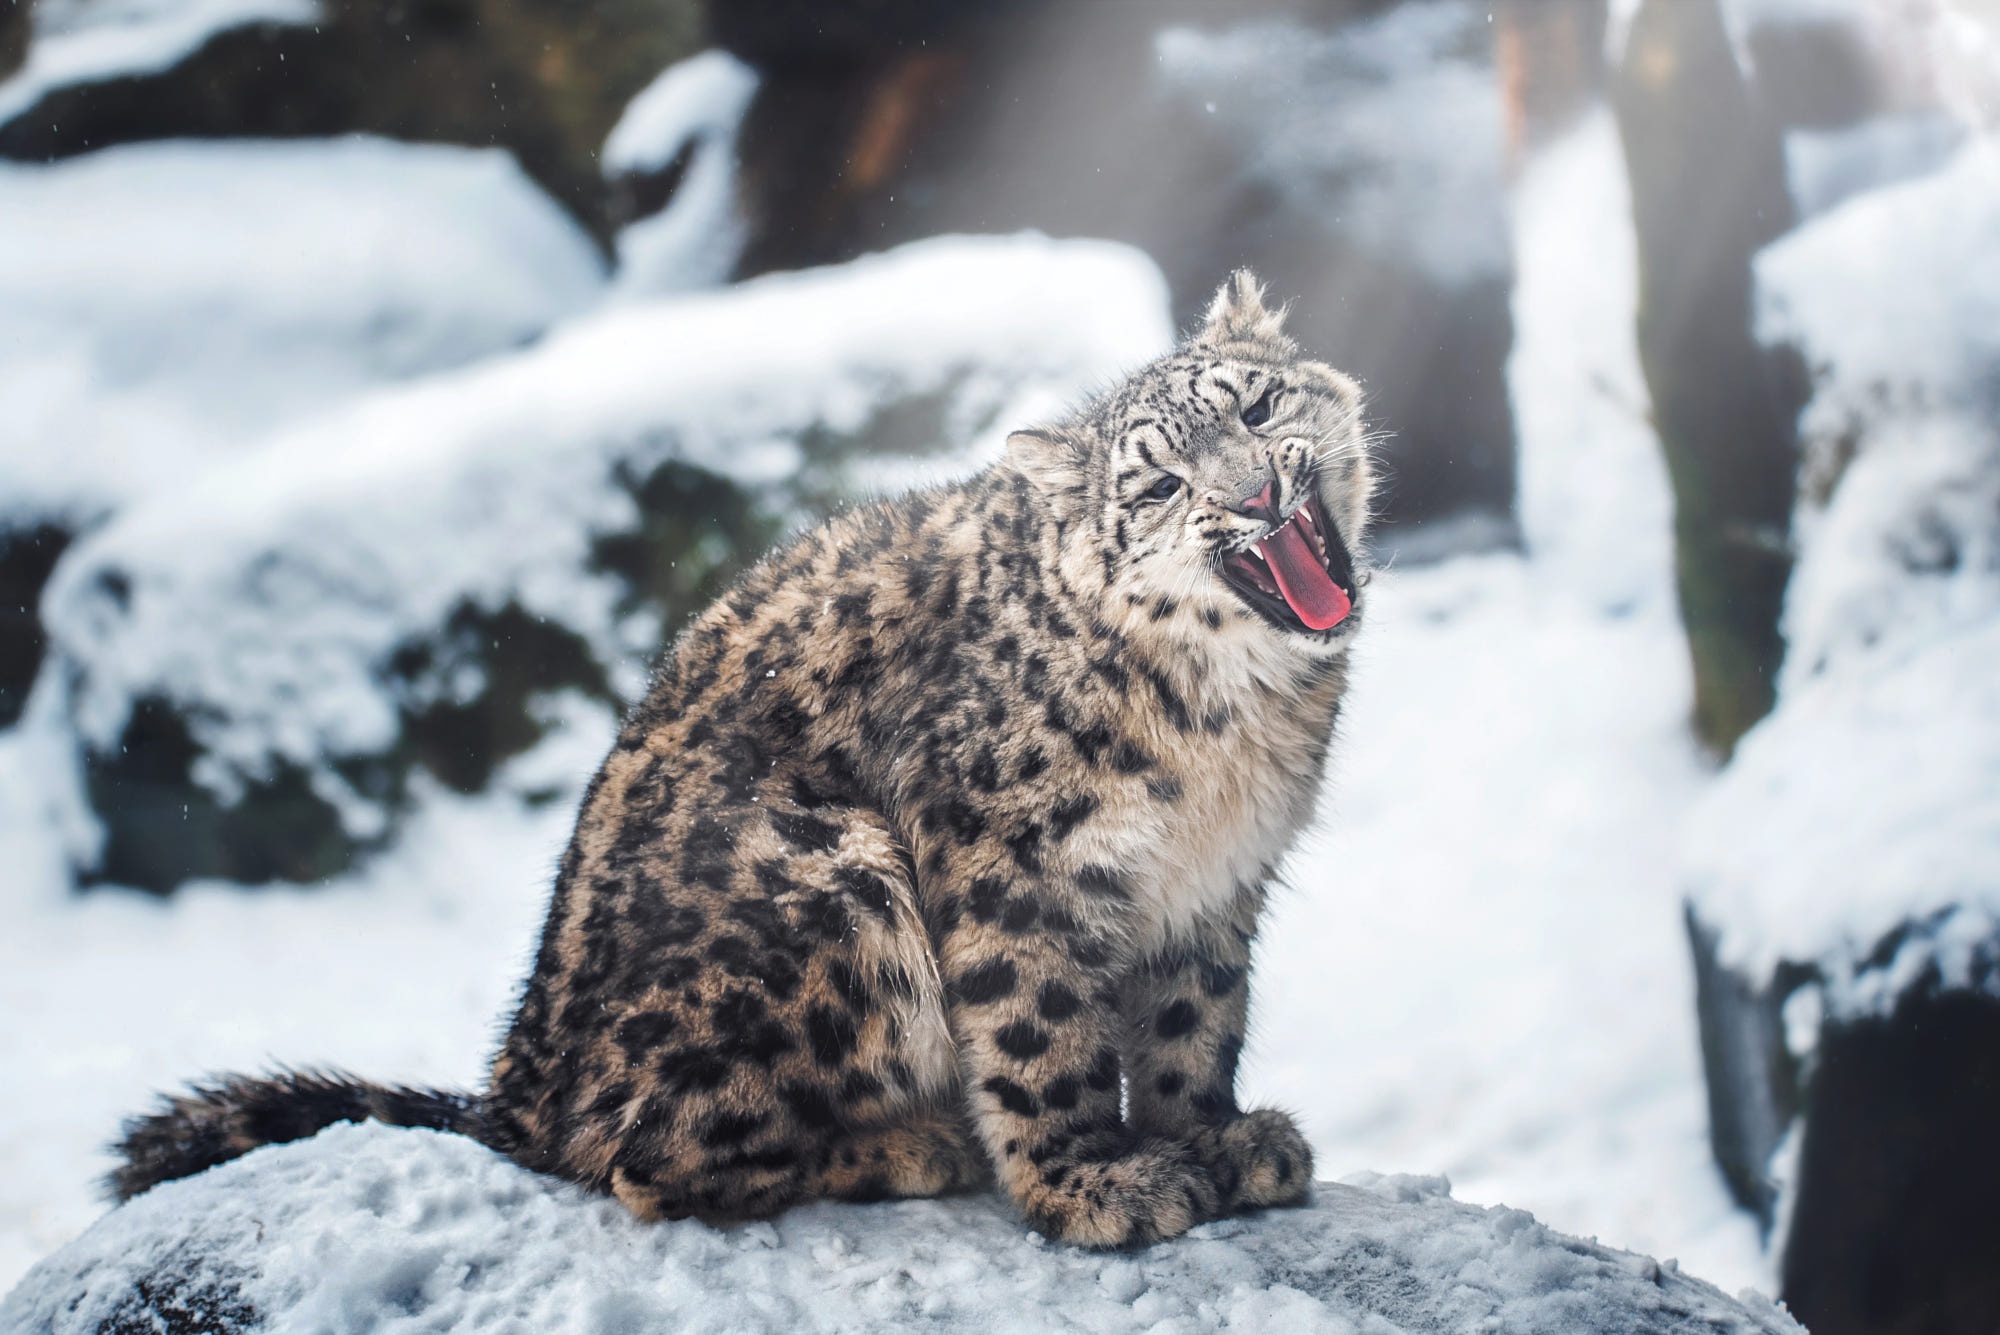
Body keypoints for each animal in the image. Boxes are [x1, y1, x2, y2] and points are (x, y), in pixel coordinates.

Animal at [110, 270, 1375, 1249]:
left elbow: (1190, 1021)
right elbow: (1038, 1028)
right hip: (834, 885)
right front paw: (1095, 1184)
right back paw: (916, 1145)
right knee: (644, 1158)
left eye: (1256, 404)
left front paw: (1216, 1141)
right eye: (1156, 484)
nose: (1251, 494)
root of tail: (521, 1085)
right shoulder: (1010, 865)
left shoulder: (1216, 885)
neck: (1231, 733)